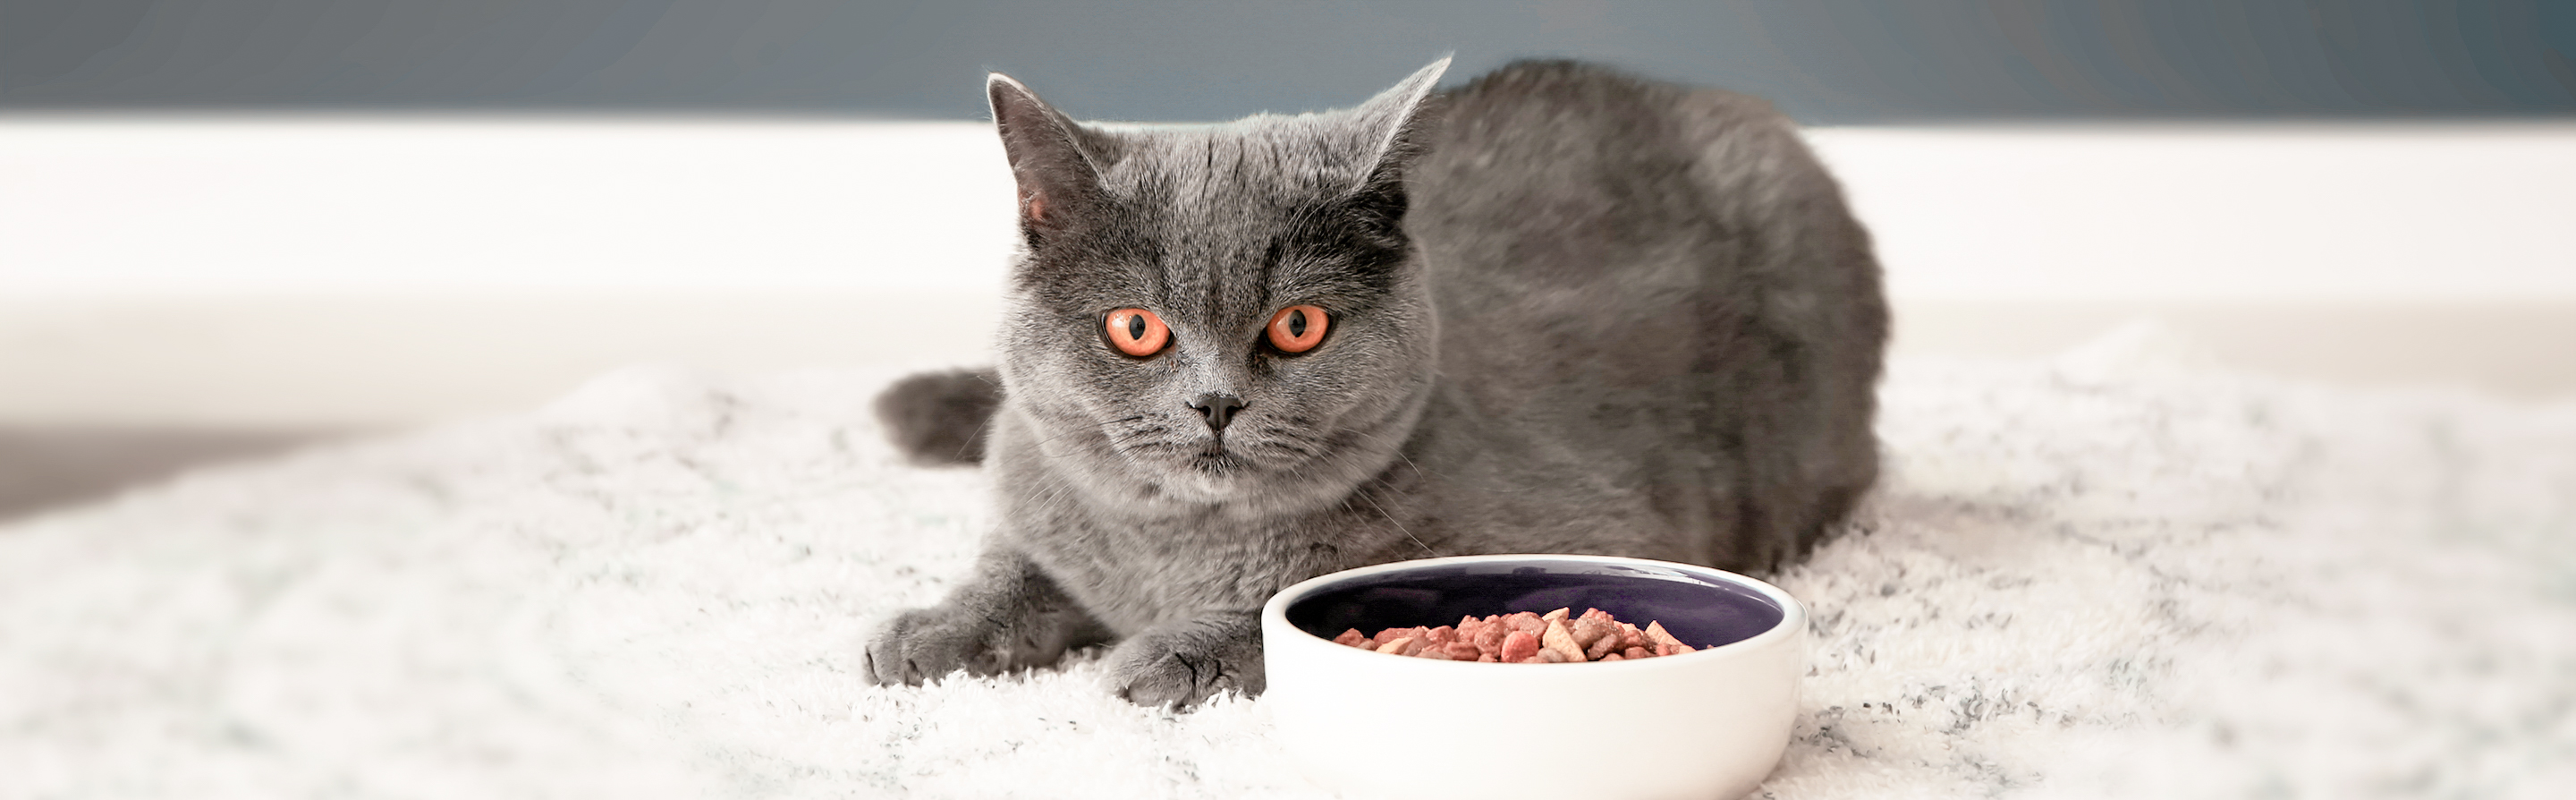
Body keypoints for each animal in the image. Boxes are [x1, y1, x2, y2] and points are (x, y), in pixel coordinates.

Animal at [865, 57, 1895, 707]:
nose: (1215, 403)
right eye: (1136, 328)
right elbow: (1011, 568)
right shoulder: (1035, 486)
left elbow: (1287, 606)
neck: (1175, 548)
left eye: (1298, 326)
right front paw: (927, 632)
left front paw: (1166, 655)